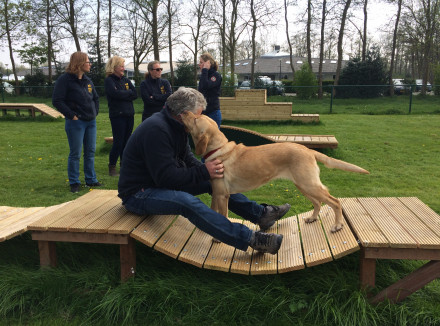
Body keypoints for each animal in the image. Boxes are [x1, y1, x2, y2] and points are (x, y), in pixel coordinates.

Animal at [180, 111, 370, 232]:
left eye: (195, 119)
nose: (183, 112)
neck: (219, 149)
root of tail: (308, 150)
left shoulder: (222, 195)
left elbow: (223, 216)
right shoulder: (216, 193)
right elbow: (214, 213)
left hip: (309, 185)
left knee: (335, 202)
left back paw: (338, 225)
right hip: (303, 186)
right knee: (318, 203)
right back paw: (312, 218)